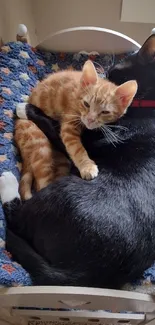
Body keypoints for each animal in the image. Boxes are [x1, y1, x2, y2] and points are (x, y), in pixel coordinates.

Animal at [2, 33, 155, 288]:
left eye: (115, 71)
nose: (105, 71)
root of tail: (85, 273)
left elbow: (57, 129)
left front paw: (26, 108)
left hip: (59, 194)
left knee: (16, 218)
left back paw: (6, 182)